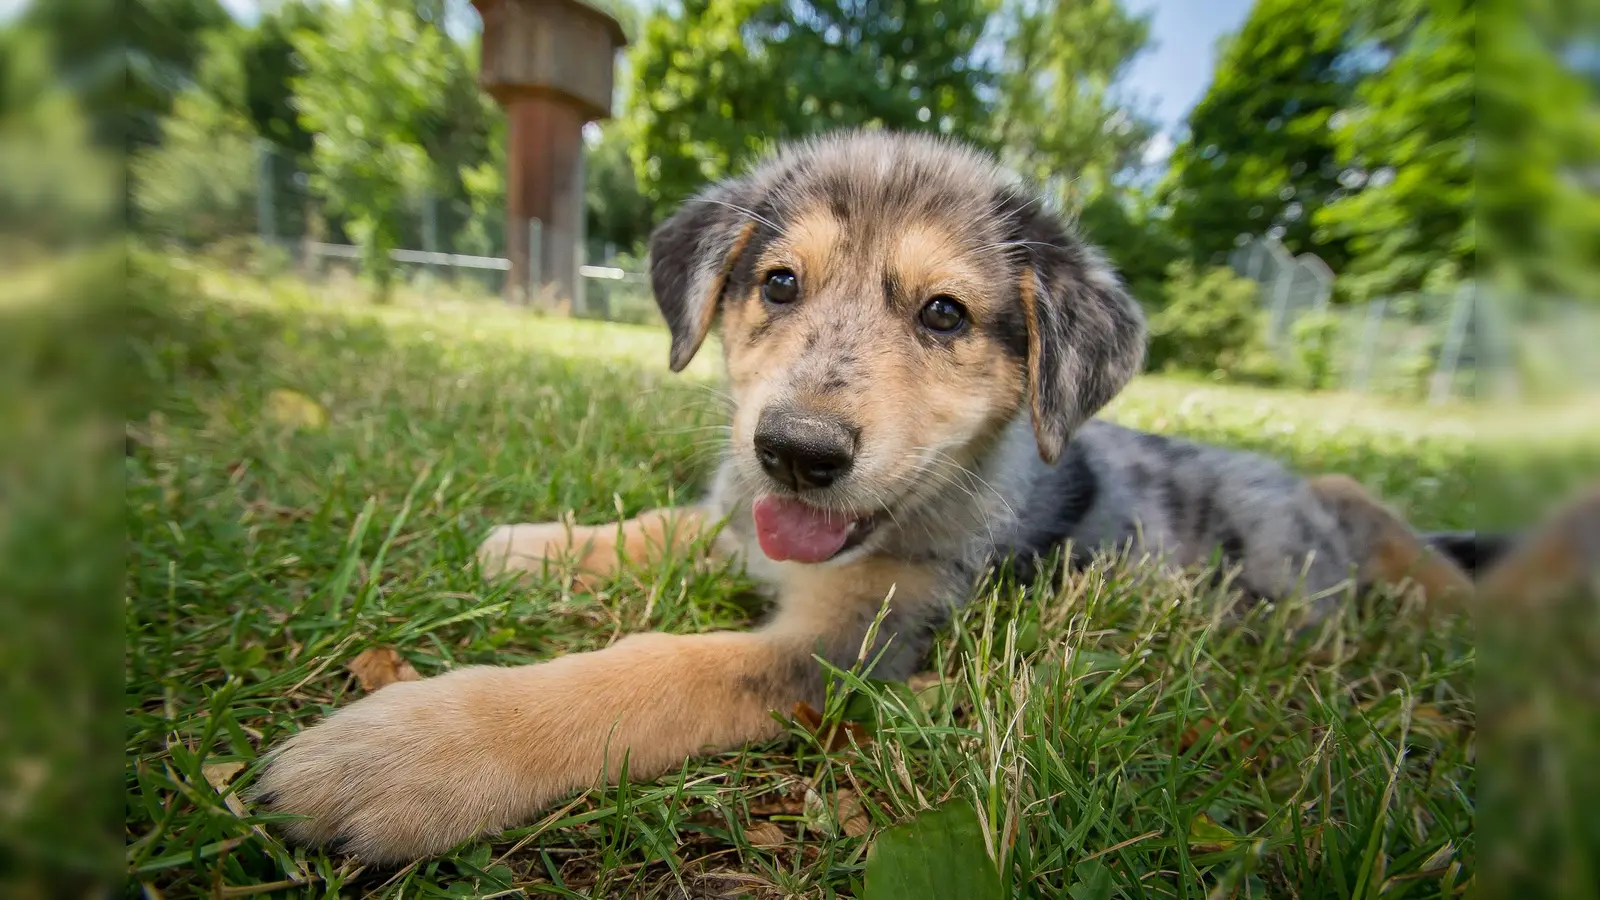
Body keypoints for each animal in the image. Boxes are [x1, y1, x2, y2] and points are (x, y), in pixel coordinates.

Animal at [256, 129, 1568, 858]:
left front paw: (411, 758)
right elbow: (675, 523)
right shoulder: (743, 516)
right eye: (777, 284)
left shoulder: (851, 647)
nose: (797, 451)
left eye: (943, 314)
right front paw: (533, 545)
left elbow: (657, 670)